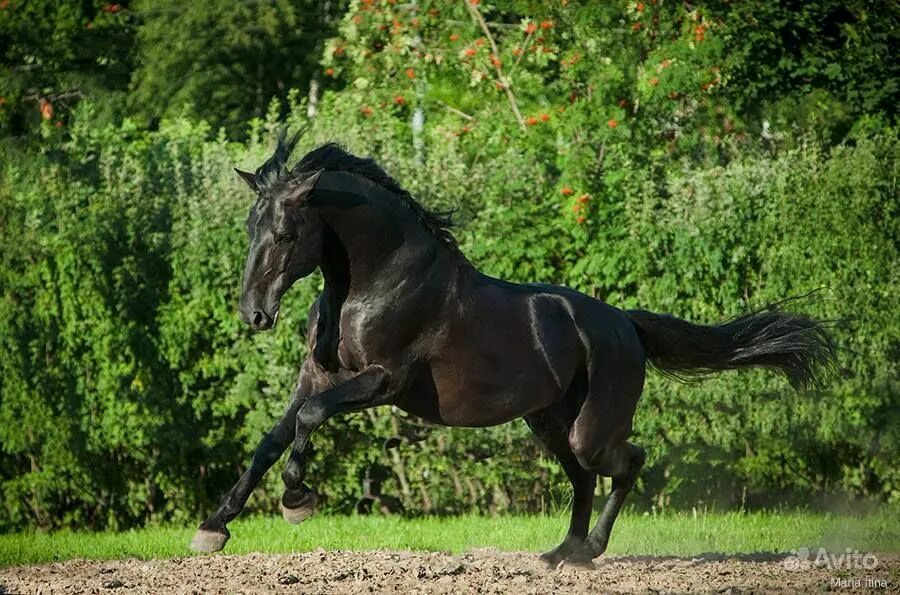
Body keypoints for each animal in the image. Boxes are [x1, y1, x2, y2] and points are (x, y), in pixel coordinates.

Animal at [190, 132, 836, 568]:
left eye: (285, 234)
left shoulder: (384, 380)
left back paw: (587, 550)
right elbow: (275, 436)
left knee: (626, 463)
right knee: (582, 477)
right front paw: (214, 527)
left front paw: (297, 500)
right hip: (548, 422)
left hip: (590, 427)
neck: (374, 282)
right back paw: (559, 553)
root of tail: (624, 324)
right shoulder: (317, 375)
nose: (254, 314)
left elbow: (309, 420)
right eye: (249, 229)